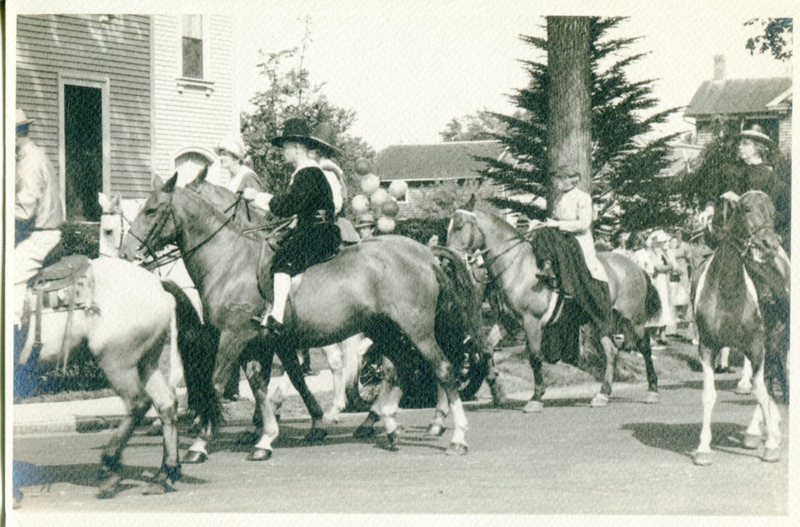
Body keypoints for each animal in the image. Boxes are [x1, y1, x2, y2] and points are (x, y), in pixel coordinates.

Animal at [119, 172, 482, 458]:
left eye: (151, 210)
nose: (125, 254)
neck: (229, 262)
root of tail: (424, 253)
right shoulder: (256, 343)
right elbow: (261, 385)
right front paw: (265, 437)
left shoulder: (233, 338)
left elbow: (218, 383)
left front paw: (200, 443)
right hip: (386, 330)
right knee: (402, 367)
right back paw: (387, 422)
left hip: (416, 328)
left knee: (442, 368)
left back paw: (456, 436)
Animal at [446, 202, 660, 412]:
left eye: (459, 226)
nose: (448, 261)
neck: (518, 268)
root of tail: (636, 267)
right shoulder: (508, 322)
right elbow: (487, 350)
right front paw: (497, 390)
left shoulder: (531, 322)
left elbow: (534, 357)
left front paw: (536, 397)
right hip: (601, 320)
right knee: (612, 351)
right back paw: (603, 394)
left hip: (633, 319)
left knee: (644, 348)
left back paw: (652, 390)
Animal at [692, 191, 788, 466]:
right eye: (746, 209)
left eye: (772, 211)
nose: (769, 244)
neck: (728, 290)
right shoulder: (707, 346)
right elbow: (708, 395)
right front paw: (703, 448)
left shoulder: (756, 346)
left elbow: (759, 390)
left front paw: (772, 445)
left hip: (775, 339)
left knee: (768, 382)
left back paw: (761, 431)